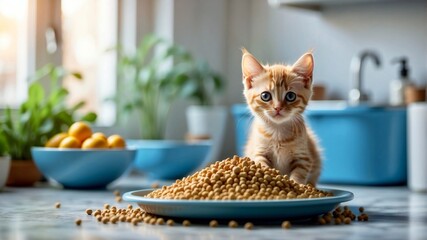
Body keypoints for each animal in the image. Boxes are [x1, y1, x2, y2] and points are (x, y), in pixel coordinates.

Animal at [242, 49, 322, 186]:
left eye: (290, 96)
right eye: (265, 96)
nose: (278, 108)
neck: (277, 132)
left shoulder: (304, 158)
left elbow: (299, 174)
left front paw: (297, 185)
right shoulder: (258, 152)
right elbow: (261, 165)